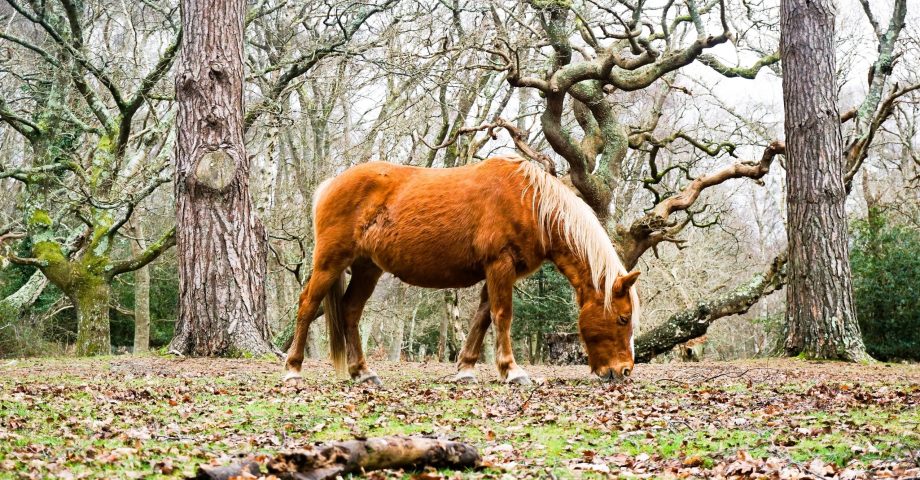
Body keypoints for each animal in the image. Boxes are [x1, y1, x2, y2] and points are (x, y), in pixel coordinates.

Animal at [286, 156, 640, 384]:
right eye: (623, 319)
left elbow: (482, 317)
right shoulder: (500, 266)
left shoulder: (497, 272)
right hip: (330, 262)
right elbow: (501, 316)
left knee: (349, 311)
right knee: (307, 306)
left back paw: (362, 372)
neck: (530, 203)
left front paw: (466, 370)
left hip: (366, 268)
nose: (624, 372)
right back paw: (293, 369)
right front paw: (513, 371)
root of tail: (331, 184)